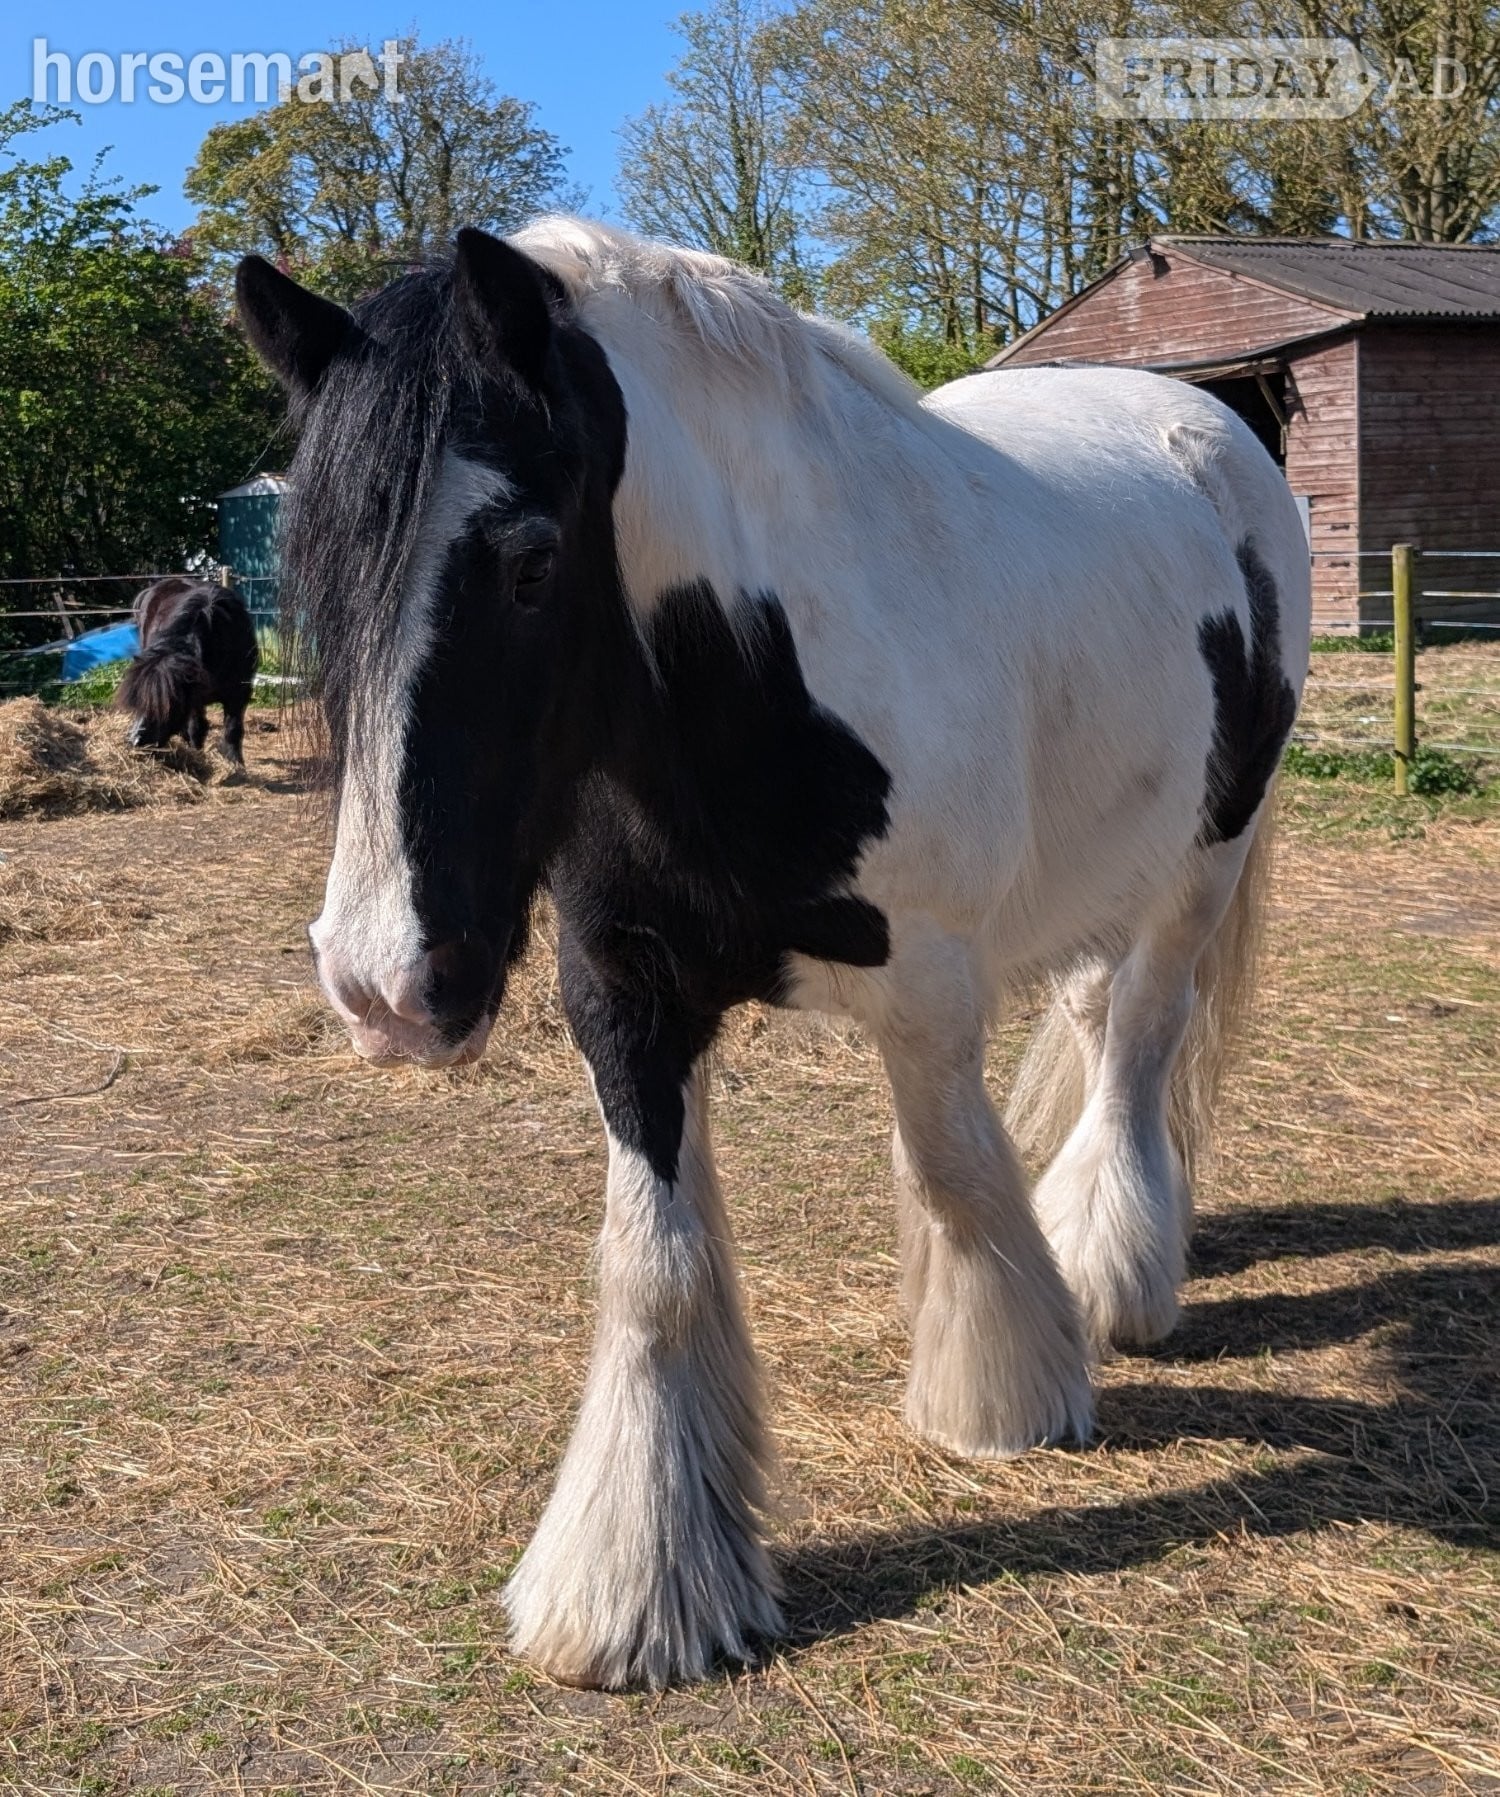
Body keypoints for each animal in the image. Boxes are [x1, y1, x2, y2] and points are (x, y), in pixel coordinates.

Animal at [119, 576, 258, 763]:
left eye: (168, 703)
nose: (136, 741)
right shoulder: (195, 697)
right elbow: (197, 728)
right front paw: (197, 754)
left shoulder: (239, 693)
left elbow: (233, 730)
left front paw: (235, 763)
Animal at [235, 219, 1309, 1690]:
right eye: (318, 578)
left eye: (527, 564)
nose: (381, 985)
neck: (747, 673)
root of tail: (1210, 423)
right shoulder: (623, 995)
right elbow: (653, 1263)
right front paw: (640, 1586)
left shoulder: (927, 988)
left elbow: (955, 1175)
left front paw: (1001, 1397)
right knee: (1101, 1025)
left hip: (1202, 857)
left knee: (1144, 1041)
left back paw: (1112, 1269)